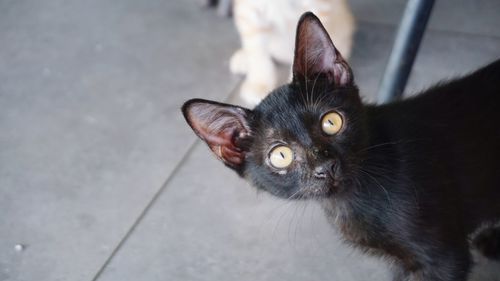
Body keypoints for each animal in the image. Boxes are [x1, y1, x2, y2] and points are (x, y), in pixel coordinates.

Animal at [183, 11, 500, 280]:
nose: (325, 166)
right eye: (281, 155)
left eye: (332, 122)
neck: (353, 199)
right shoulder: (406, 263)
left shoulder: (444, 258)